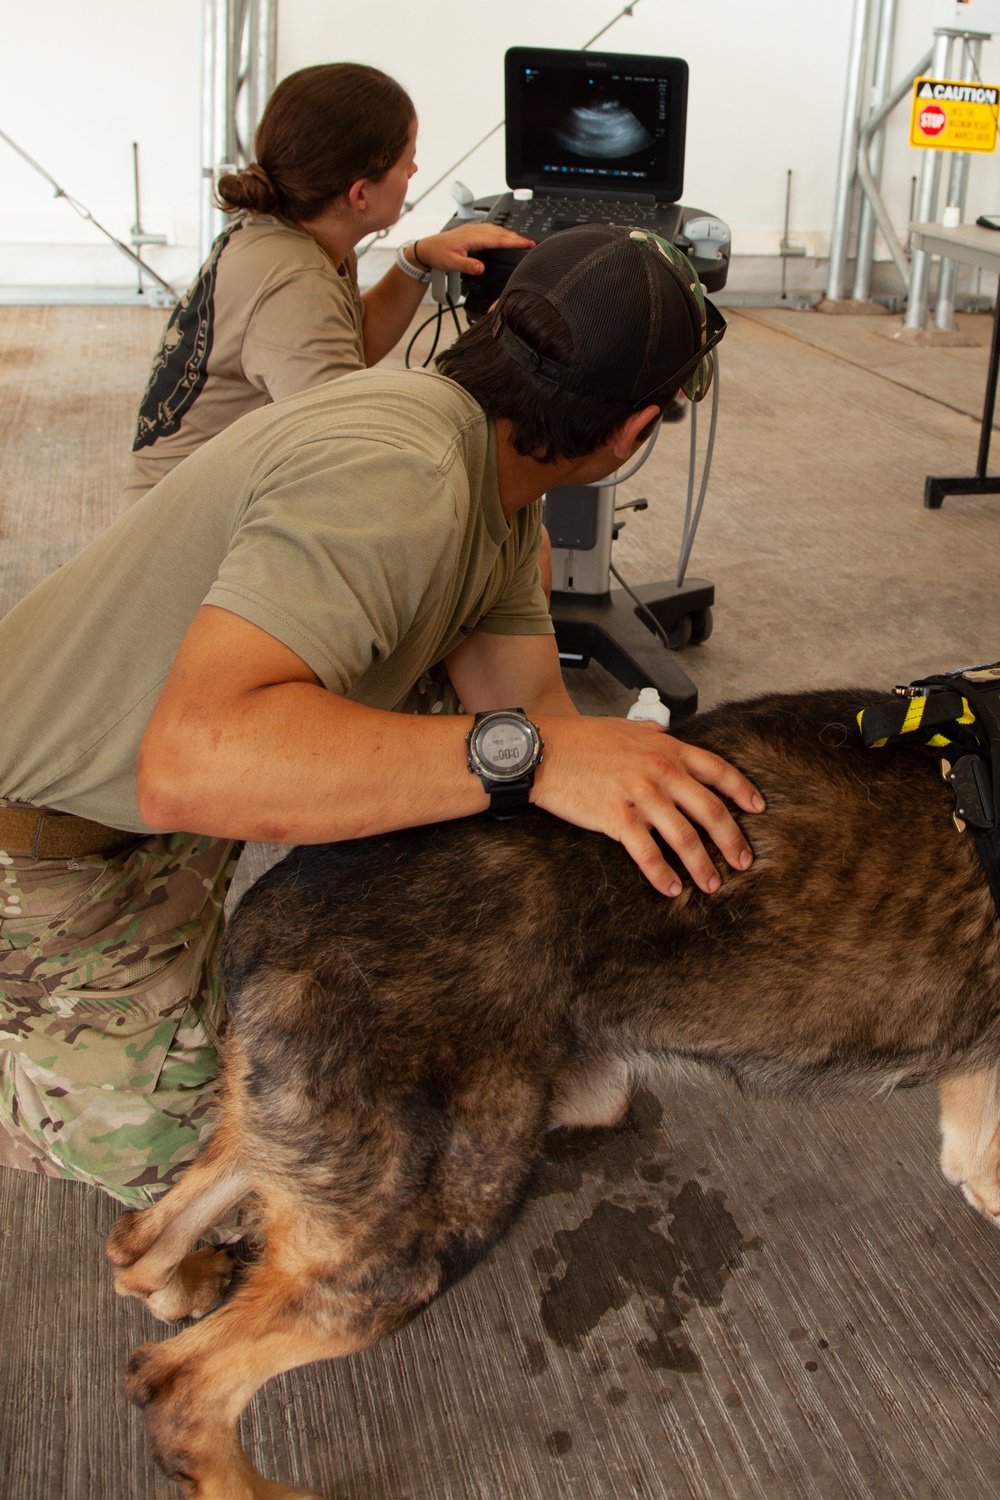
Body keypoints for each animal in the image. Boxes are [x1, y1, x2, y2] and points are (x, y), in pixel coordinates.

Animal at [105, 690, 1000, 1500]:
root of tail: (261, 915)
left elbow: (972, 1154)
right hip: (413, 1235)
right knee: (179, 1387)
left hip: (302, 1146)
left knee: (140, 1245)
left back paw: (176, 1278)